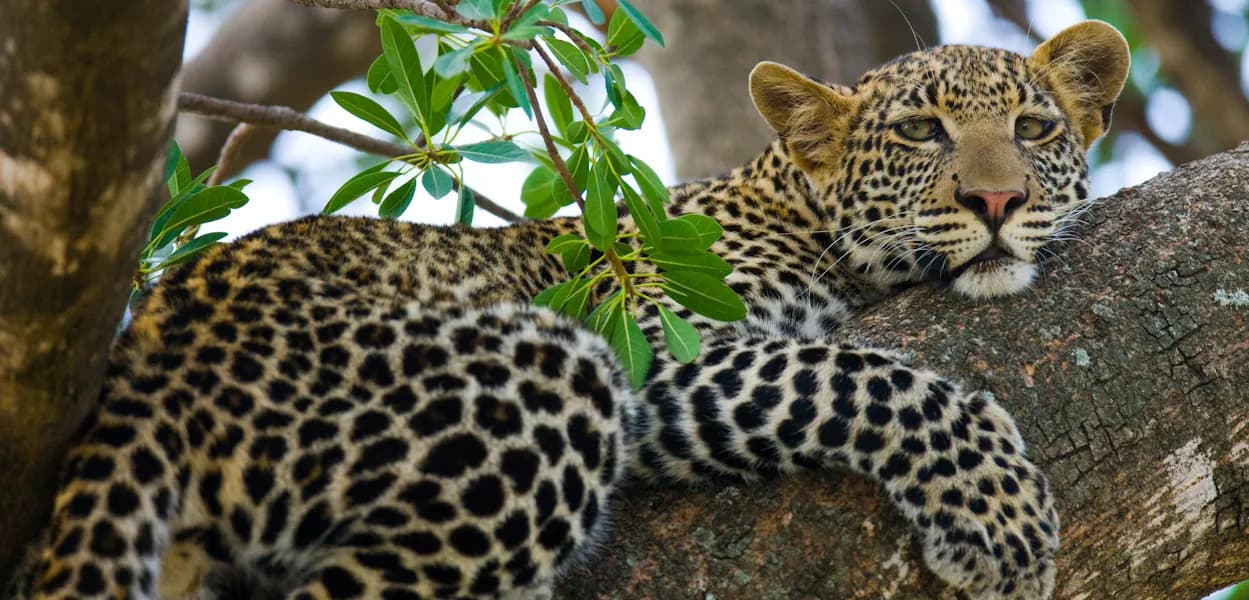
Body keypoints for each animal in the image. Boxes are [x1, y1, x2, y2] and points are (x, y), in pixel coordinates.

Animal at [6, 19, 1130, 600]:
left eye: (1032, 129)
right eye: (919, 134)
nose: (996, 204)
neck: (798, 214)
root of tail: (152, 346)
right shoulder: (661, 355)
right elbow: (862, 377)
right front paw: (997, 513)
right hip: (544, 380)